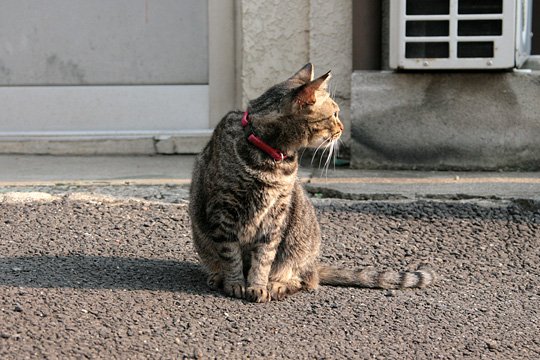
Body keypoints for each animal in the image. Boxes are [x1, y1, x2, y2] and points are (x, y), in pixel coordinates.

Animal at [189, 63, 434, 302]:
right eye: (334, 114)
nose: (342, 128)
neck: (271, 157)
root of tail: (314, 265)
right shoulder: (223, 209)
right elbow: (230, 254)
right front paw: (235, 283)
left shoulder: (276, 214)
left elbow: (264, 257)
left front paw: (258, 285)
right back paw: (219, 277)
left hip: (298, 242)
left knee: (305, 279)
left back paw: (278, 285)